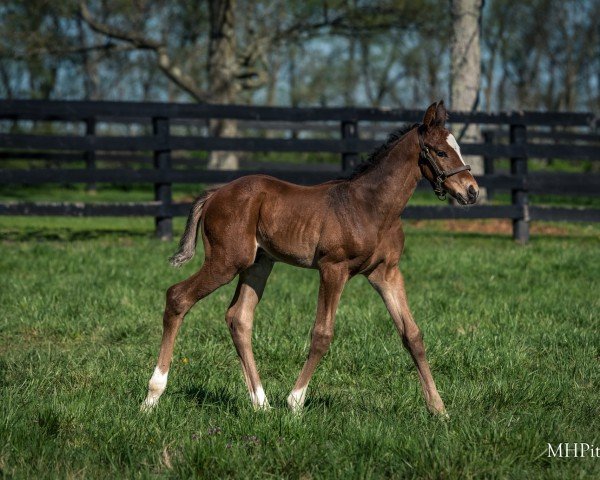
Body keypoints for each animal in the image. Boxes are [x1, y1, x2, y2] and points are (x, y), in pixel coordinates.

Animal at [141, 101, 478, 416]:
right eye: (441, 152)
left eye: (459, 149)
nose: (471, 191)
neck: (371, 206)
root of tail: (216, 192)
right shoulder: (333, 269)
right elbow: (322, 334)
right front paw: (295, 400)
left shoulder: (386, 272)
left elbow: (413, 335)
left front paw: (439, 409)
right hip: (226, 262)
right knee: (178, 297)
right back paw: (152, 396)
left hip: (258, 265)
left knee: (238, 318)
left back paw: (261, 403)